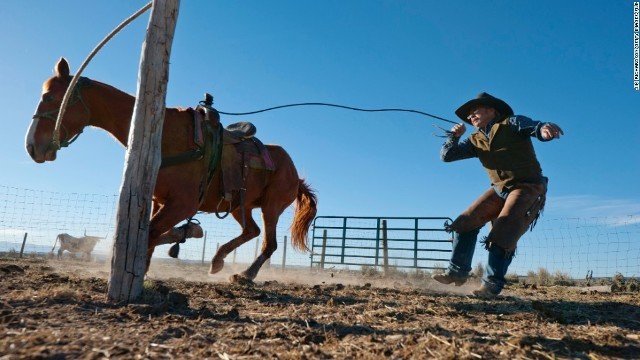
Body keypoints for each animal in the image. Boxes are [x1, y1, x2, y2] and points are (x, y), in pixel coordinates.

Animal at [25, 57, 318, 284]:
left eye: (49, 96)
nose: (31, 146)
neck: (164, 136)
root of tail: (295, 173)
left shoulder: (183, 204)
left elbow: (151, 233)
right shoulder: (158, 201)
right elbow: (149, 233)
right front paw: (143, 268)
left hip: (271, 206)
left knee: (269, 242)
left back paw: (245, 274)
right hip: (239, 205)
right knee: (252, 232)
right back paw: (217, 259)